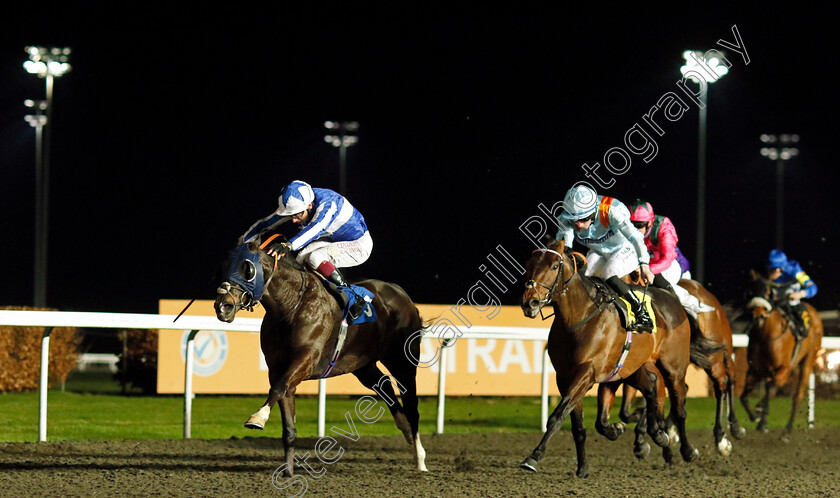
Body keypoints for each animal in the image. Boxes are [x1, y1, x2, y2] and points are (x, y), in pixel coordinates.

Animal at [213, 235, 430, 476]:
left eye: (247, 269)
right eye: (222, 267)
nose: (223, 306)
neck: (291, 306)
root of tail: (403, 295)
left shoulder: (305, 359)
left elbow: (278, 389)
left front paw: (258, 418)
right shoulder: (278, 368)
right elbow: (286, 415)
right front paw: (288, 471)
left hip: (402, 361)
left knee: (411, 405)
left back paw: (420, 459)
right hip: (362, 364)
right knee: (383, 385)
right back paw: (406, 430)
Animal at [520, 240, 700, 478]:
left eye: (553, 266)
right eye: (529, 264)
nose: (530, 302)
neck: (577, 320)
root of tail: (670, 296)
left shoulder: (586, 373)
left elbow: (557, 416)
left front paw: (534, 456)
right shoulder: (565, 377)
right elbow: (578, 425)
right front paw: (583, 467)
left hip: (674, 368)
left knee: (679, 408)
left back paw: (687, 451)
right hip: (631, 368)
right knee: (652, 388)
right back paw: (656, 433)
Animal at [740, 270, 820, 438]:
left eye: (768, 291)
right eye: (750, 291)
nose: (757, 315)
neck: (766, 336)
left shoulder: (784, 368)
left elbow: (770, 389)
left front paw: (762, 418)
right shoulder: (754, 370)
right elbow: (744, 396)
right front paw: (755, 416)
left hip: (807, 361)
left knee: (797, 395)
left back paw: (787, 431)